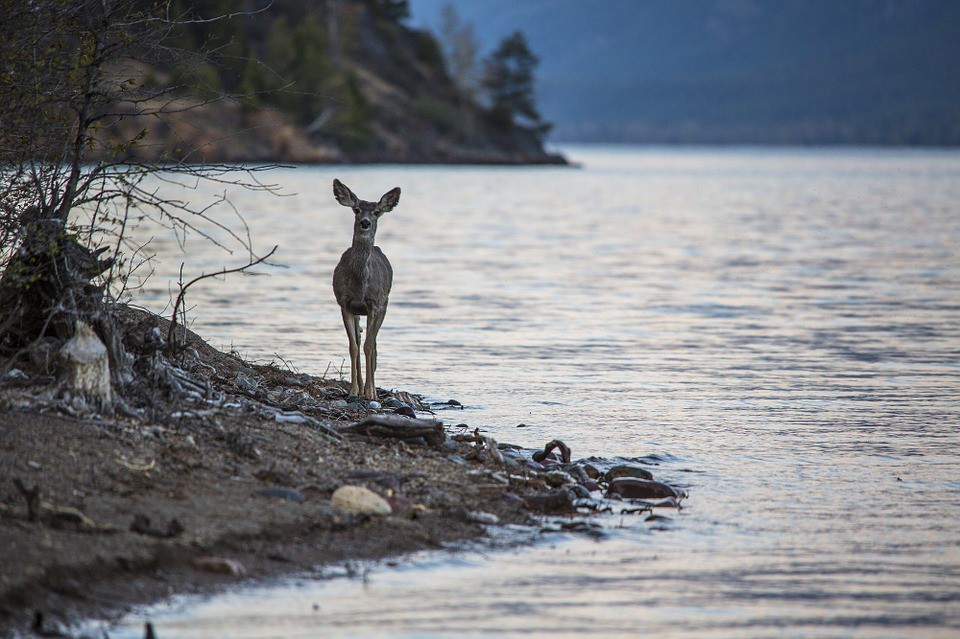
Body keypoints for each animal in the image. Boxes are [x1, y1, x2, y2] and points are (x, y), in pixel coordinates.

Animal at [334, 179, 402, 400]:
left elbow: (369, 346)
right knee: (360, 338)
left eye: (377, 212)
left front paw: (371, 393)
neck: (360, 286)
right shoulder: (345, 304)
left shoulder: (375, 304)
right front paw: (354, 390)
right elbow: (354, 346)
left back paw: (370, 389)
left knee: (374, 344)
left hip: (384, 305)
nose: (365, 222)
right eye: (356, 209)